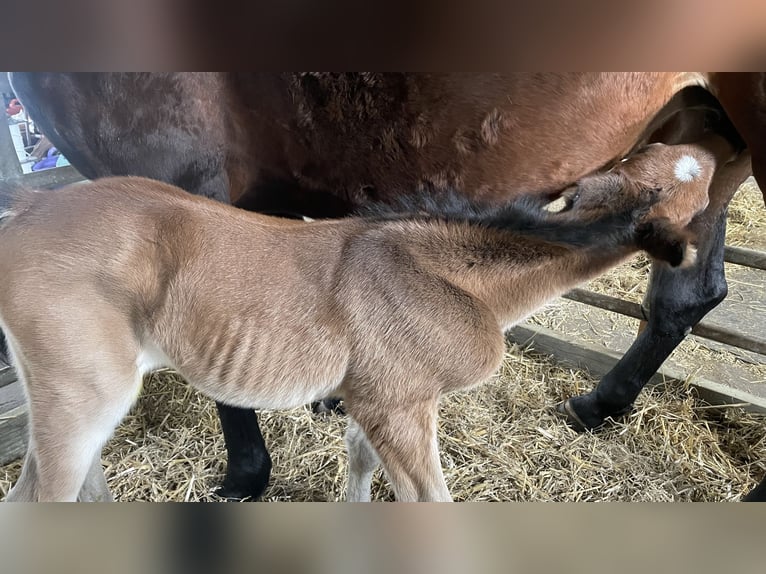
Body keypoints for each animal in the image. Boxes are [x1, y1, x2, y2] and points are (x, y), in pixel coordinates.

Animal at [7, 72, 766, 502]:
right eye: (664, 175)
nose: (704, 157)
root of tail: (25, 216)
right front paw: (259, 467)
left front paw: (254, 471)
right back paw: (598, 405)